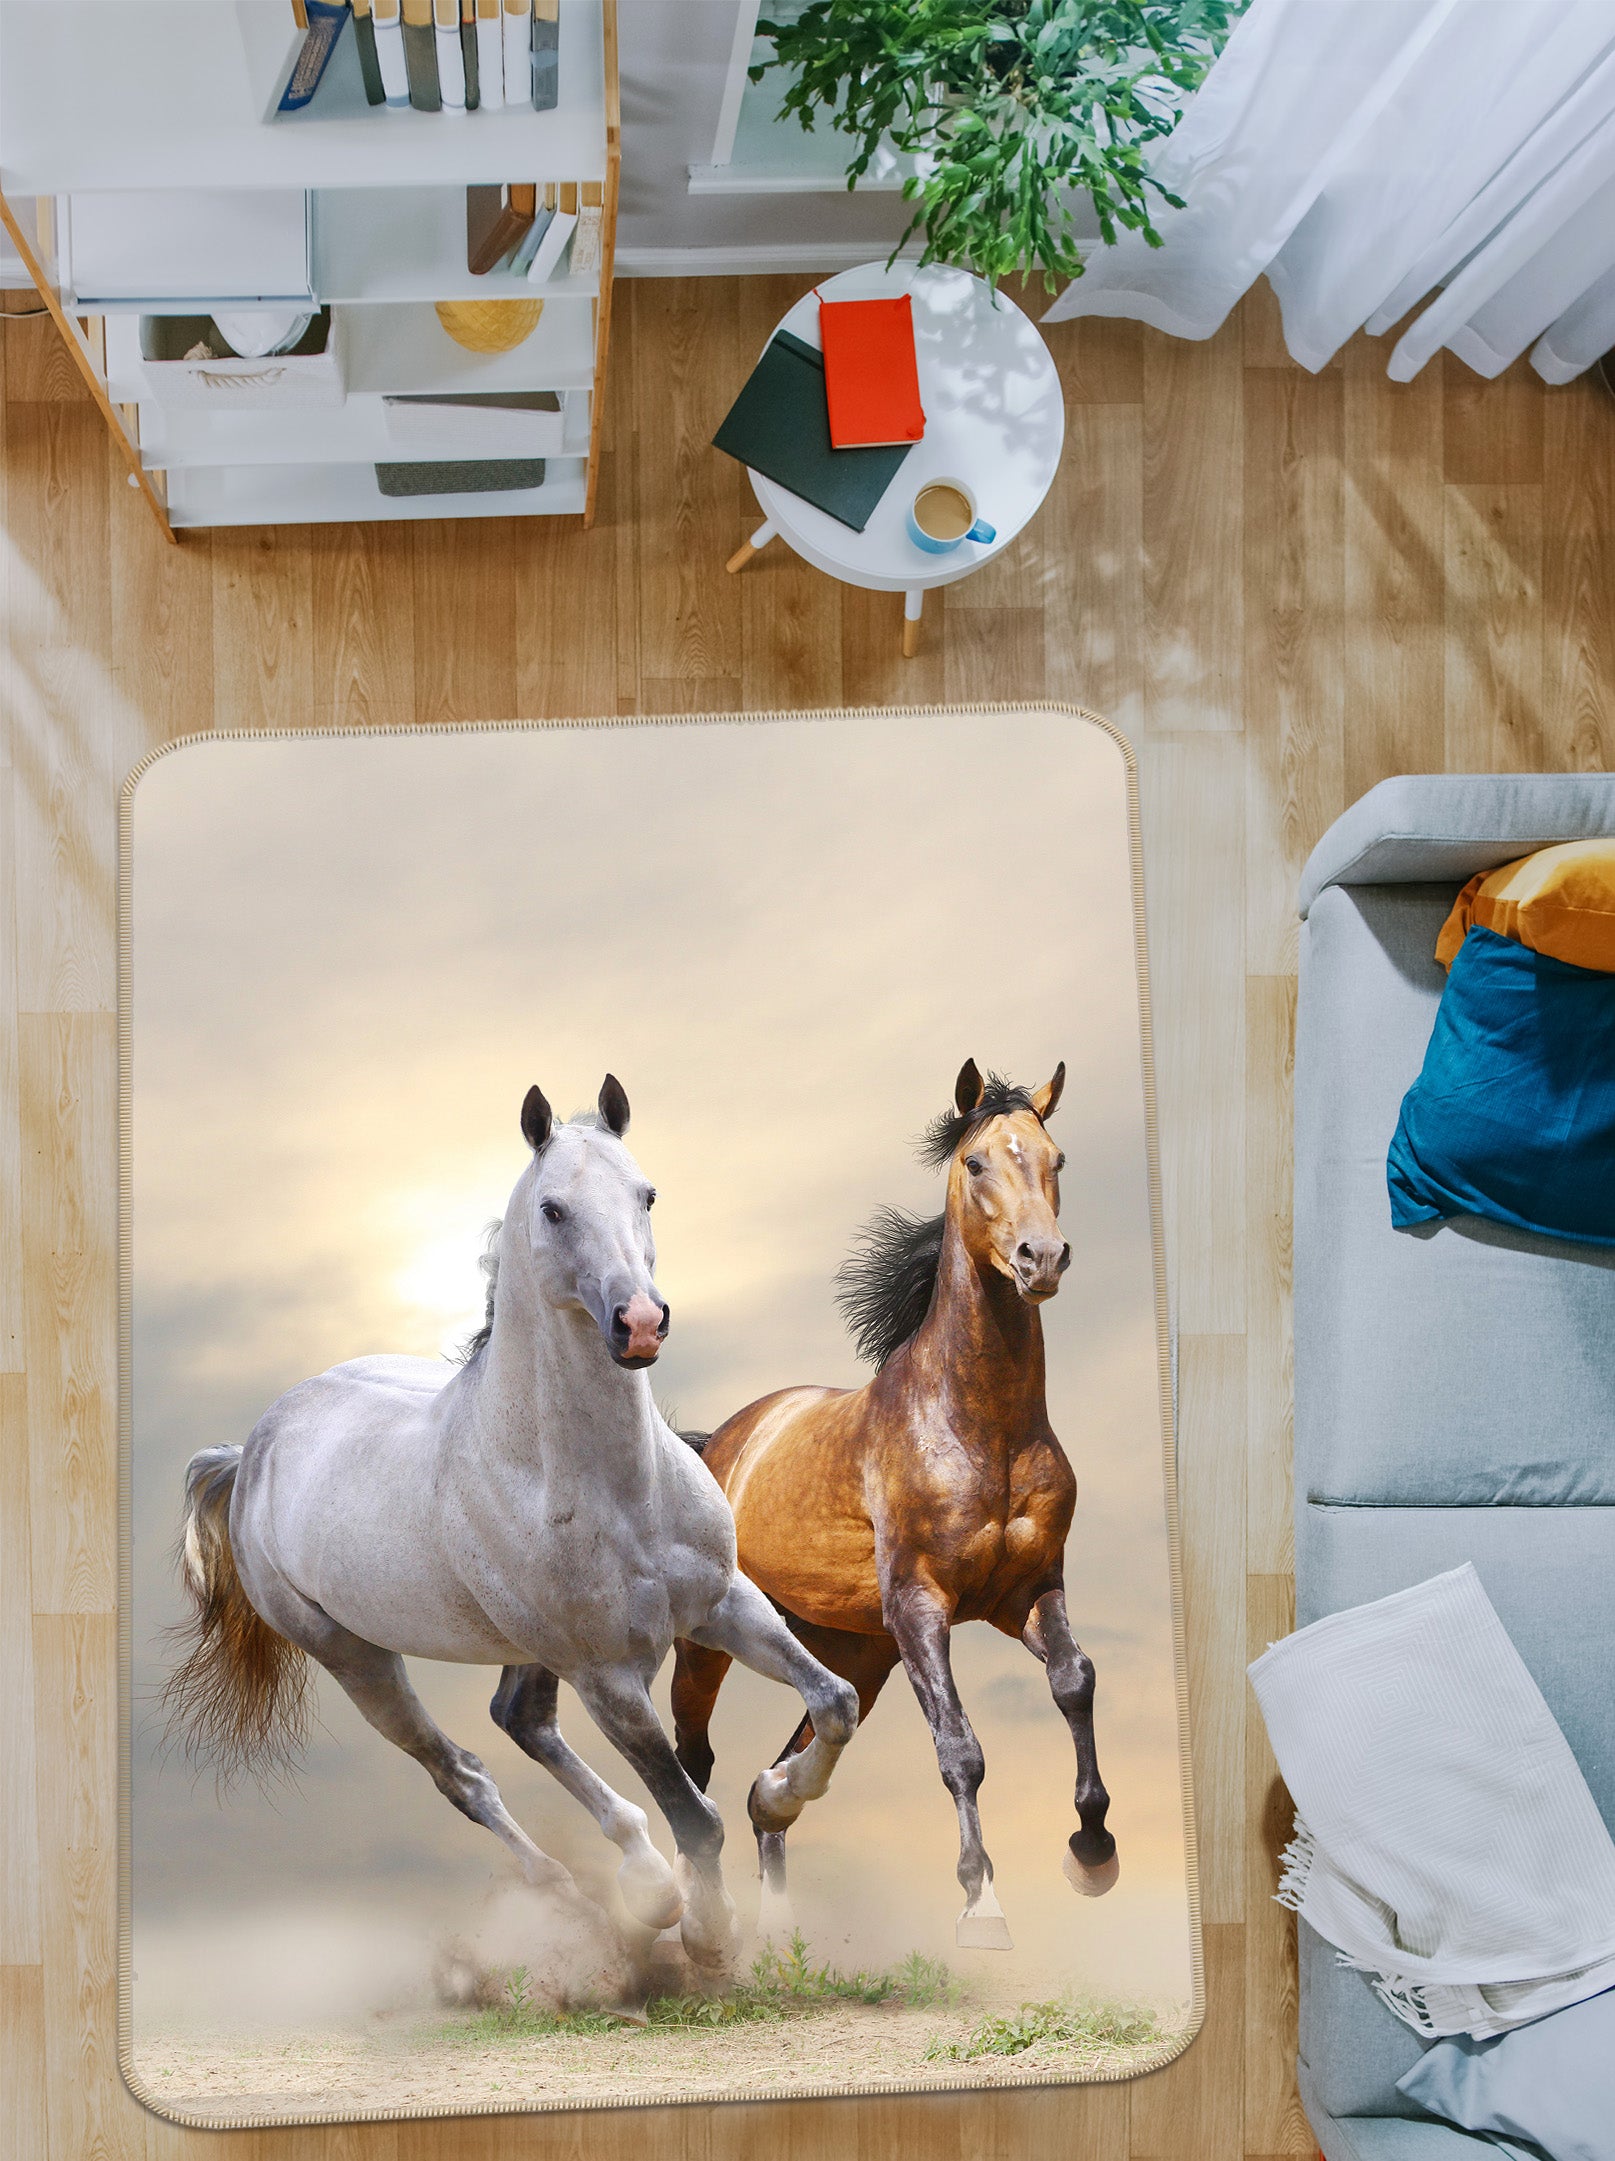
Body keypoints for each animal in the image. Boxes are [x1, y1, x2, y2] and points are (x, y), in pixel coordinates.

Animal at [164, 1077, 860, 1972]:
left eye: (647, 1194)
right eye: (554, 1208)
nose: (639, 1322)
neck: (614, 1486)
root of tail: (251, 1449)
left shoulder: (721, 1603)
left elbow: (835, 1699)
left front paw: (776, 1797)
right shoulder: (607, 1674)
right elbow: (693, 1813)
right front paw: (711, 1935)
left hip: (525, 1647)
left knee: (519, 1720)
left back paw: (643, 1884)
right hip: (357, 1659)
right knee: (461, 1772)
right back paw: (592, 1897)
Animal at [670, 1059, 1117, 1951]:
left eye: (1056, 1158)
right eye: (976, 1162)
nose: (1041, 1257)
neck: (980, 1425)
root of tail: (719, 1442)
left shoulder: (1026, 1591)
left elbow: (1075, 1680)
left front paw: (1092, 1848)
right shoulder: (920, 1605)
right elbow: (960, 1747)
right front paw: (981, 1903)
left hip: (852, 1653)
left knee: (776, 1780)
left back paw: (778, 1902)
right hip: (715, 1644)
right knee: (691, 1760)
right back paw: (693, 1916)